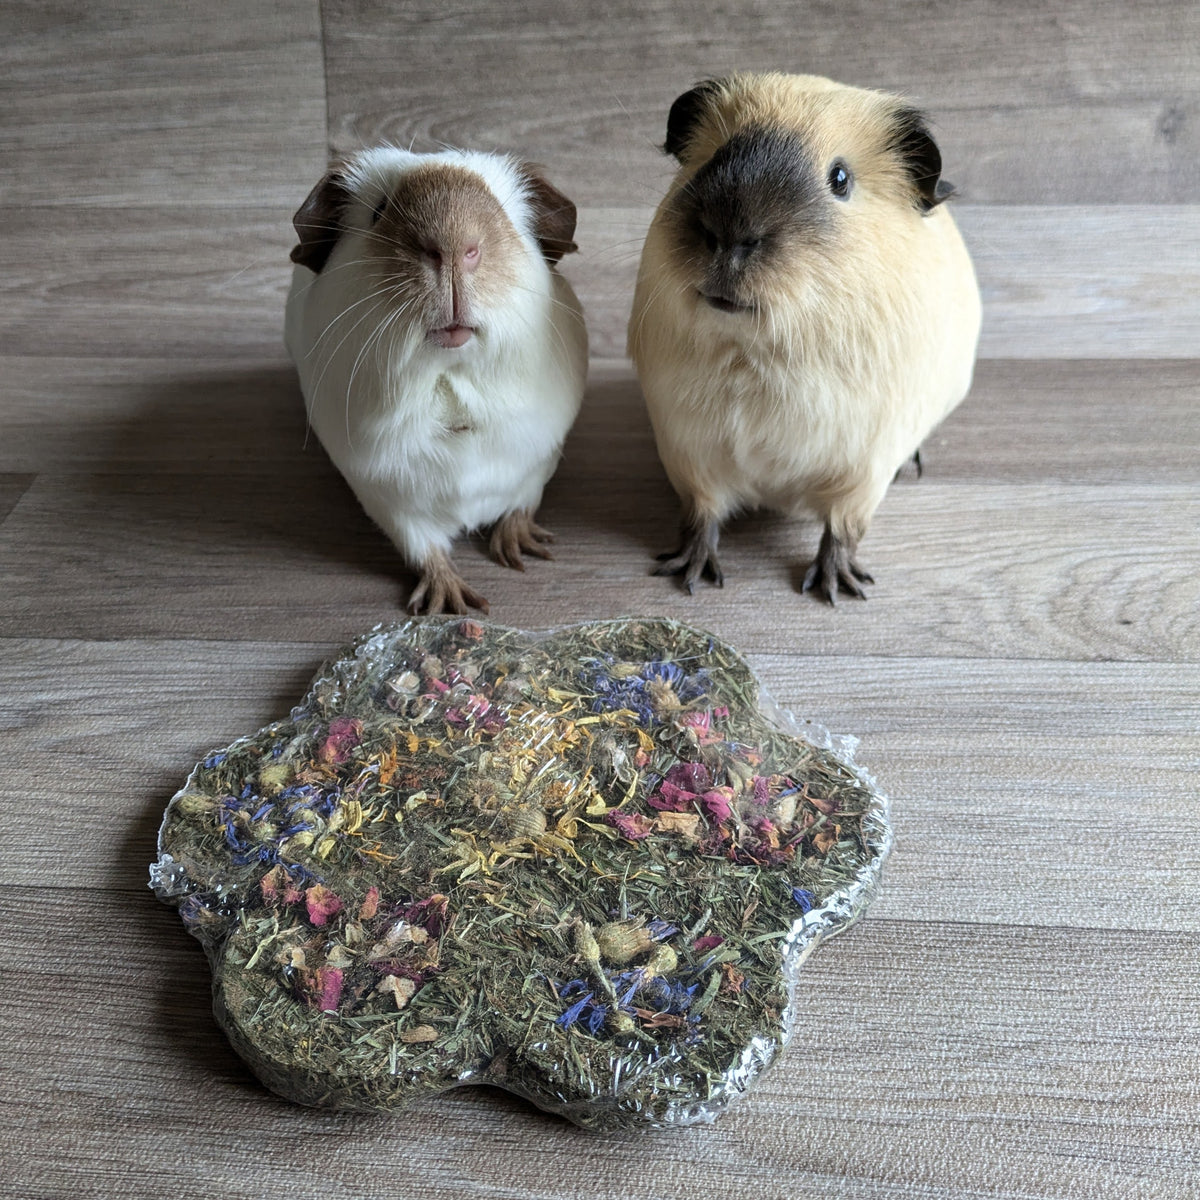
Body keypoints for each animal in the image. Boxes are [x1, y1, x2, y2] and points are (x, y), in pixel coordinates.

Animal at [285, 146, 588, 614]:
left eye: (501, 209)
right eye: (379, 210)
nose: (451, 248)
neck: (449, 387)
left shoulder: (539, 461)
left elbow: (521, 506)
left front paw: (520, 553)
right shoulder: (389, 500)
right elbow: (426, 551)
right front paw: (455, 604)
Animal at [628, 72, 982, 603]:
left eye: (840, 179)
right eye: (715, 156)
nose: (731, 236)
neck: (754, 359)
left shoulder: (865, 469)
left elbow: (842, 528)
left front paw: (836, 589)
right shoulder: (689, 452)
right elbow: (702, 516)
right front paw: (687, 574)